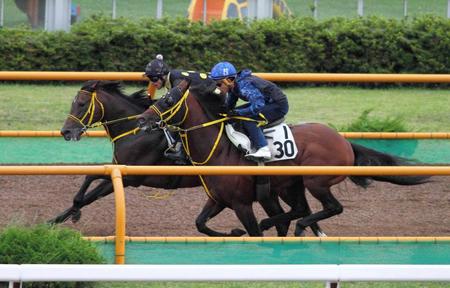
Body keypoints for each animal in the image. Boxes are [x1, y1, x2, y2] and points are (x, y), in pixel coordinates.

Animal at [136, 79, 428, 236]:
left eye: (168, 100)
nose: (142, 120)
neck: (219, 149)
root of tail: (344, 141)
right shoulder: (218, 199)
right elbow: (200, 224)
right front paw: (233, 231)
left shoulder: (242, 203)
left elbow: (253, 231)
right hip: (290, 185)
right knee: (300, 209)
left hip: (315, 181)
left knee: (330, 208)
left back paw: (299, 226)